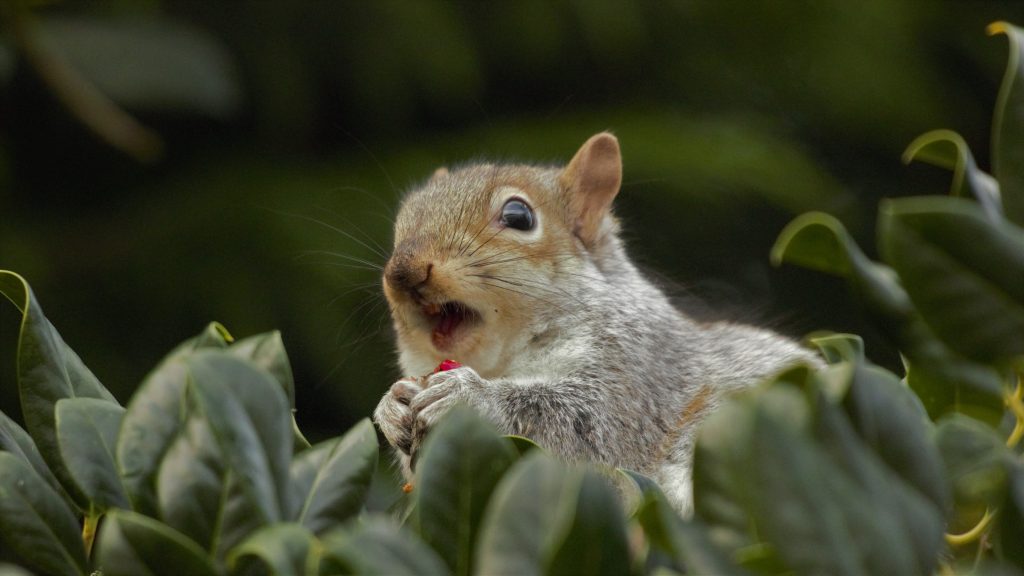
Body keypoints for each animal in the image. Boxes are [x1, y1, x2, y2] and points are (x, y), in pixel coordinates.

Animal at [373, 132, 819, 515]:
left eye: (518, 216)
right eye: (403, 220)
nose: (403, 272)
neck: (504, 361)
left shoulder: (640, 370)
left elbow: (588, 423)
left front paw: (470, 395)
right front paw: (392, 407)